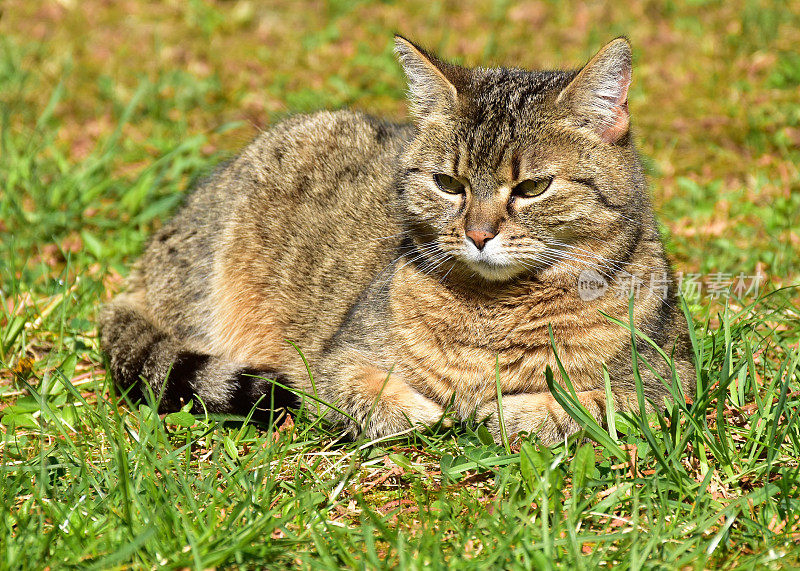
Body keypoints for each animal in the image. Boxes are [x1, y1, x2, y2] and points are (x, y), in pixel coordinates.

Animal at [100, 36, 696, 446]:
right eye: (448, 183)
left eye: (532, 187)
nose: (478, 234)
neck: (493, 313)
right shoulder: (334, 360)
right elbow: (369, 394)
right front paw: (429, 410)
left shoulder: (673, 380)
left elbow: (594, 402)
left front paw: (511, 409)